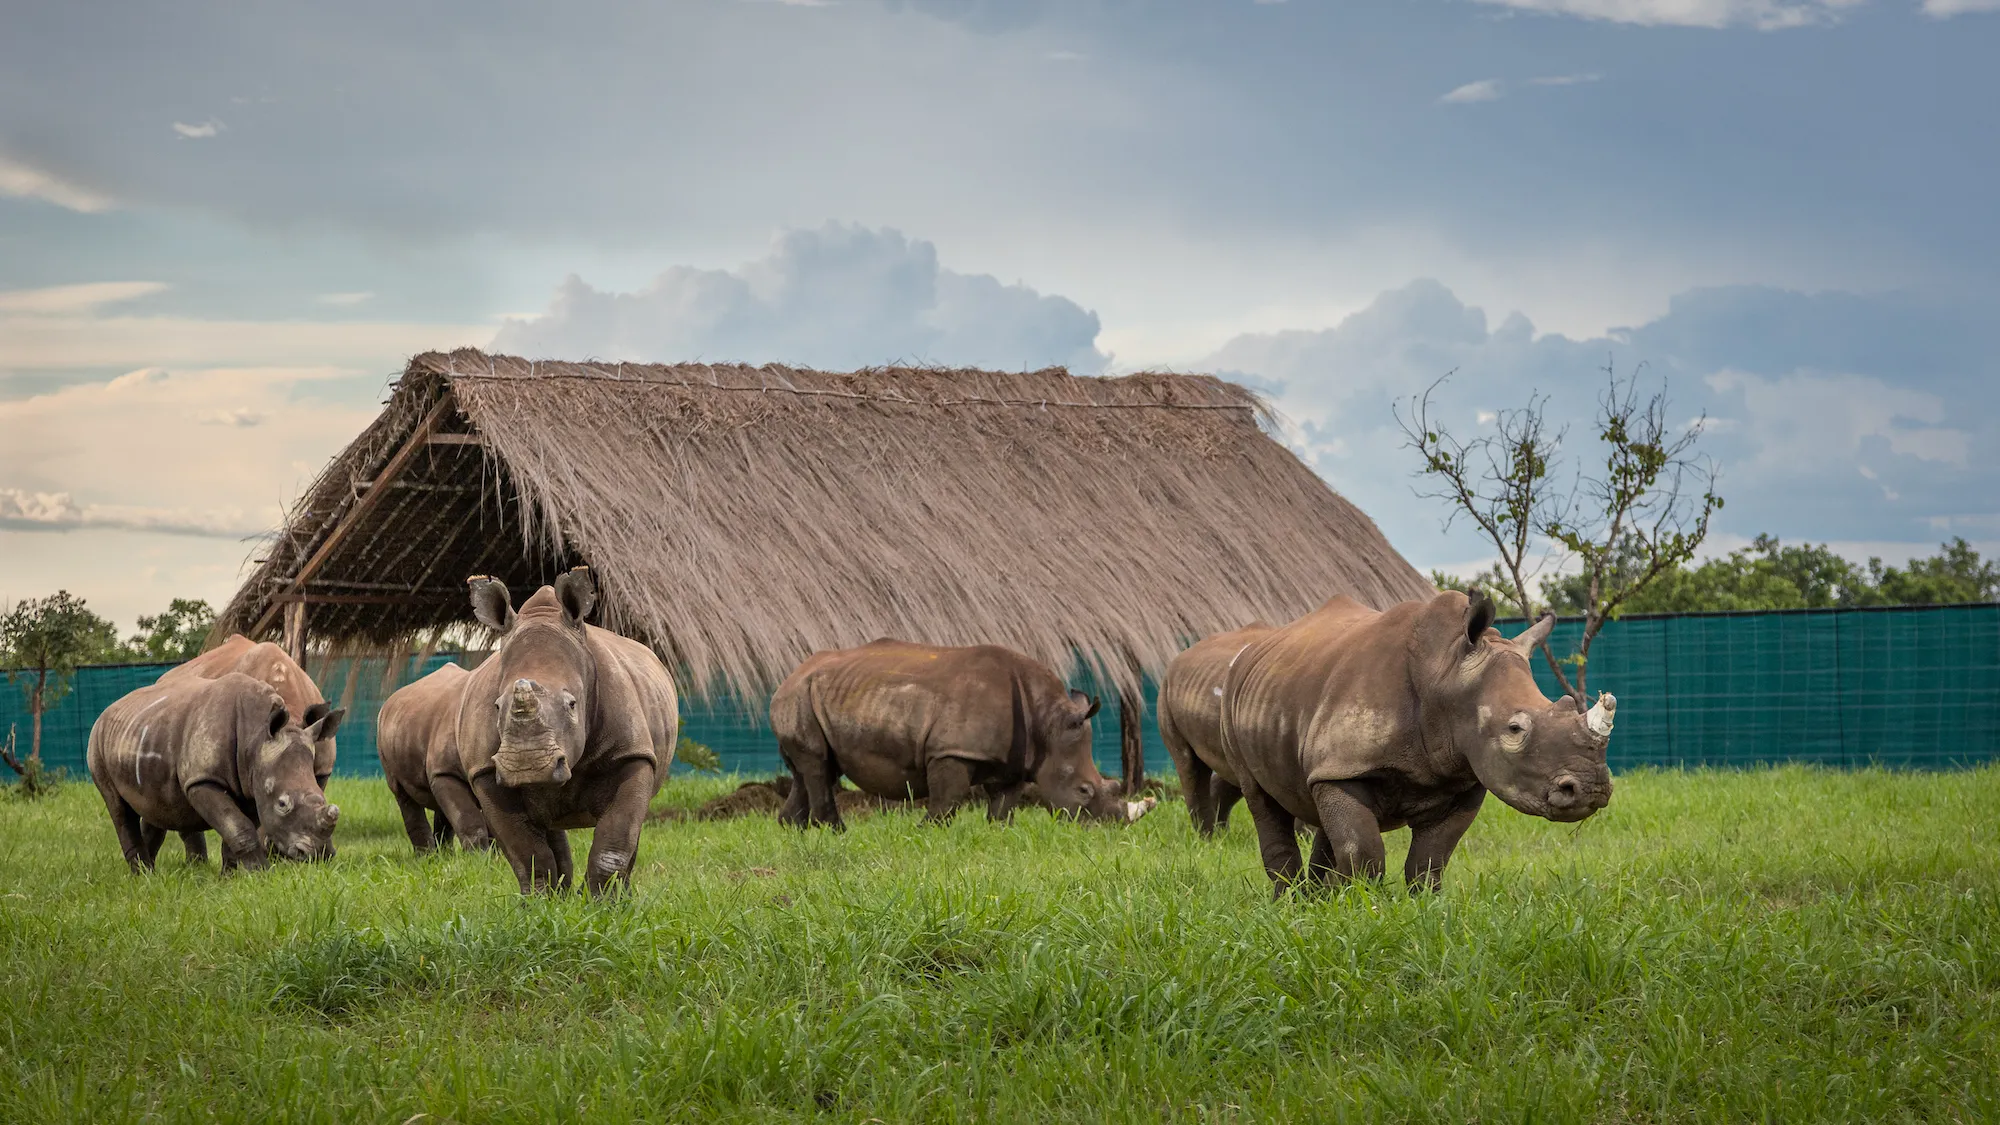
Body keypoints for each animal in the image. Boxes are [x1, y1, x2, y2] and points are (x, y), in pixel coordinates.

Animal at [87, 672, 343, 873]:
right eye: (282, 804)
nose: (318, 854)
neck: (256, 737)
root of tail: (108, 710)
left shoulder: (252, 787)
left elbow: (237, 831)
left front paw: (232, 879)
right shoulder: (202, 780)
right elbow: (239, 828)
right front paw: (262, 873)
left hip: (144, 732)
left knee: (155, 806)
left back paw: (149, 874)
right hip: (97, 742)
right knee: (119, 809)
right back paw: (142, 877)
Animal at [377, 661, 490, 853]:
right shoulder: (448, 769)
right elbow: (467, 817)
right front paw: (480, 857)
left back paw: (444, 855)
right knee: (402, 794)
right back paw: (426, 856)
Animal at [458, 568, 679, 895]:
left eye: (573, 705)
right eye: (497, 707)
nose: (528, 766)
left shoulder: (632, 754)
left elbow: (613, 844)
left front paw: (602, 904)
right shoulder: (484, 770)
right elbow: (527, 853)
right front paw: (538, 904)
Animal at [769, 639, 1156, 828]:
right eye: (1083, 790)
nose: (1112, 826)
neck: (1047, 721)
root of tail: (788, 676)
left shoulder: (1012, 762)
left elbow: (1003, 808)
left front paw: (998, 835)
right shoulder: (952, 751)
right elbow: (947, 803)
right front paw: (925, 833)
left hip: (814, 694)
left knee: (812, 771)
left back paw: (795, 831)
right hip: (799, 696)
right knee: (818, 767)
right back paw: (835, 833)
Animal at [1222, 590, 1615, 894]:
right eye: (1514, 729)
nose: (1591, 789)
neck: (1445, 674)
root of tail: (1248, 651)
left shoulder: (1462, 778)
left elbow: (1430, 861)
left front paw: (1423, 908)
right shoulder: (1347, 764)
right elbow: (1364, 853)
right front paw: (1360, 908)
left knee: (1317, 803)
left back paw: (1315, 902)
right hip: (1233, 698)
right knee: (1261, 799)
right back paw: (1289, 904)